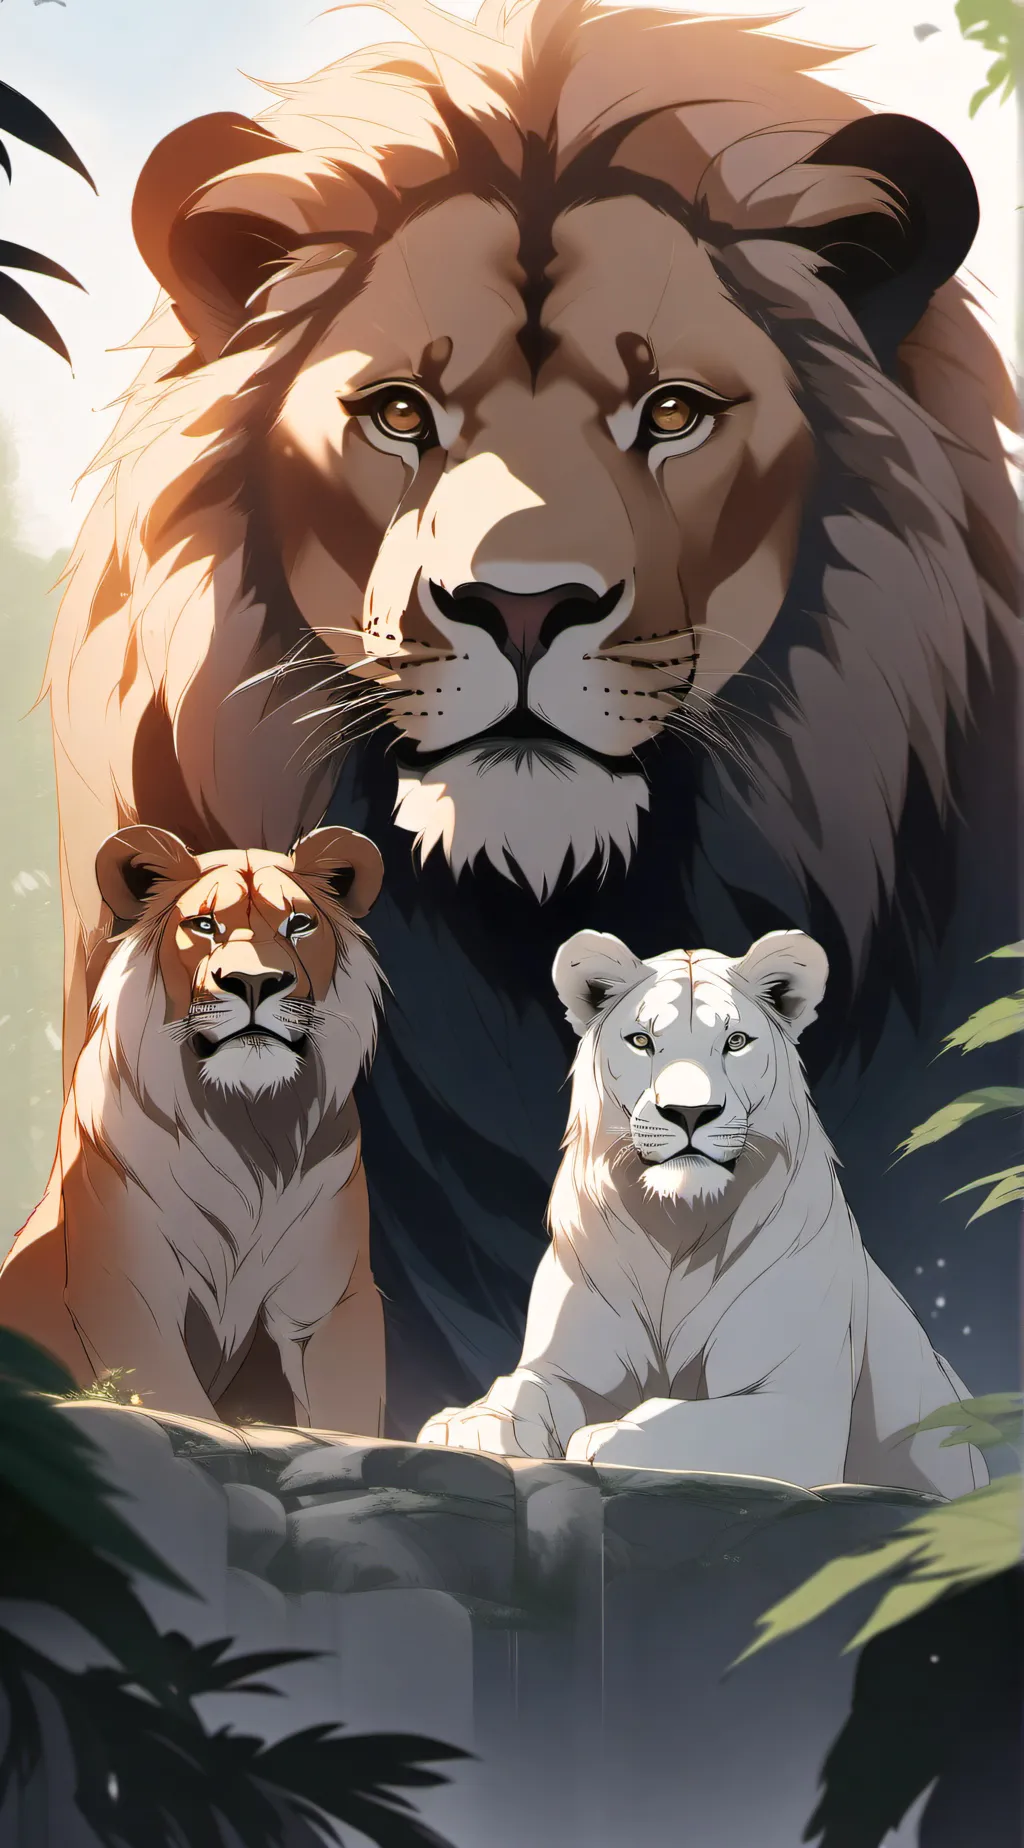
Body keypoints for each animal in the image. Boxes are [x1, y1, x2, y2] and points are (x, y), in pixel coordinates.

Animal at [0, 825, 387, 1433]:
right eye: (203, 925)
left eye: (298, 923)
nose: (254, 981)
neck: (250, 1124)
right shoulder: (126, 1288)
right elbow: (178, 1401)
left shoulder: (330, 1298)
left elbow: (345, 1412)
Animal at [419, 928, 986, 1496]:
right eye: (642, 1041)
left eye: (735, 1042)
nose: (689, 1112)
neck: (677, 1227)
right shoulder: (563, 1367)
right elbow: (520, 1388)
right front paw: (466, 1423)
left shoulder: (796, 1407)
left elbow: (677, 1417)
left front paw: (605, 1437)